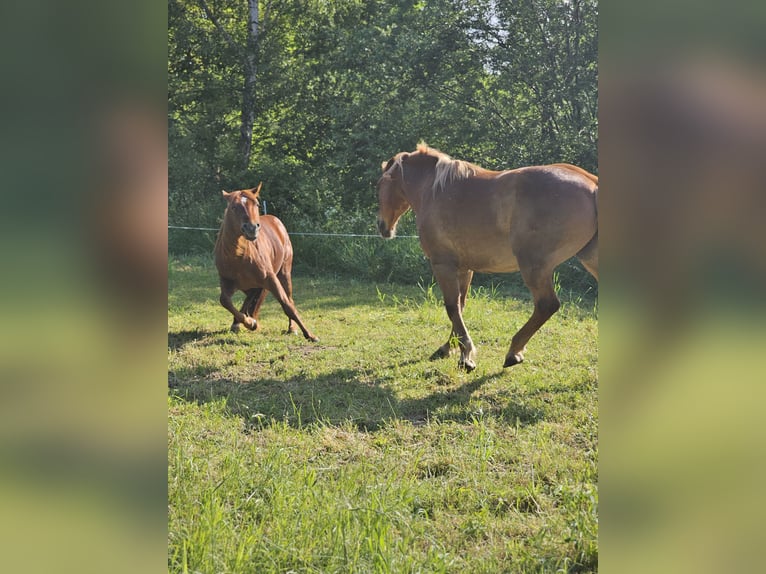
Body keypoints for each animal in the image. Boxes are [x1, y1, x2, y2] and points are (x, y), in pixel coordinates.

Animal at [214, 184, 320, 342]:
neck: (239, 257)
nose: (252, 228)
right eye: (233, 207)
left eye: (256, 204)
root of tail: (275, 220)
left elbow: (287, 305)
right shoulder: (226, 281)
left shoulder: (270, 279)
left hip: (284, 273)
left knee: (288, 298)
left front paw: (310, 335)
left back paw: (291, 328)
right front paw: (249, 323)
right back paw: (242, 322)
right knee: (250, 297)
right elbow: (225, 300)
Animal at [378, 144, 600, 374]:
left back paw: (514, 352)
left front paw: (466, 356)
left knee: (546, 305)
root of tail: (591, 183)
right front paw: (449, 348)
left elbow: (451, 307)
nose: (382, 226)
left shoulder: (443, 265)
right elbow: (460, 306)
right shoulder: (464, 269)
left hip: (534, 267)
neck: (434, 191)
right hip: (588, 260)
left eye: (379, 184)